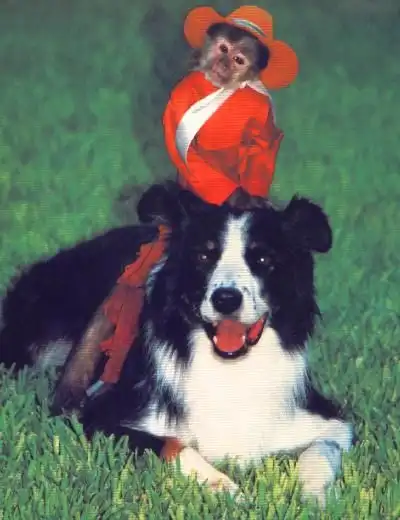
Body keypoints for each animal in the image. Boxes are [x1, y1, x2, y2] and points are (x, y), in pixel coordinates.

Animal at [0, 182, 354, 507]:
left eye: (264, 258)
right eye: (203, 255)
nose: (226, 299)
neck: (229, 369)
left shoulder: (330, 421)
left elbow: (323, 448)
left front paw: (311, 494)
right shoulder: (101, 417)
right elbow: (173, 445)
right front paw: (224, 487)